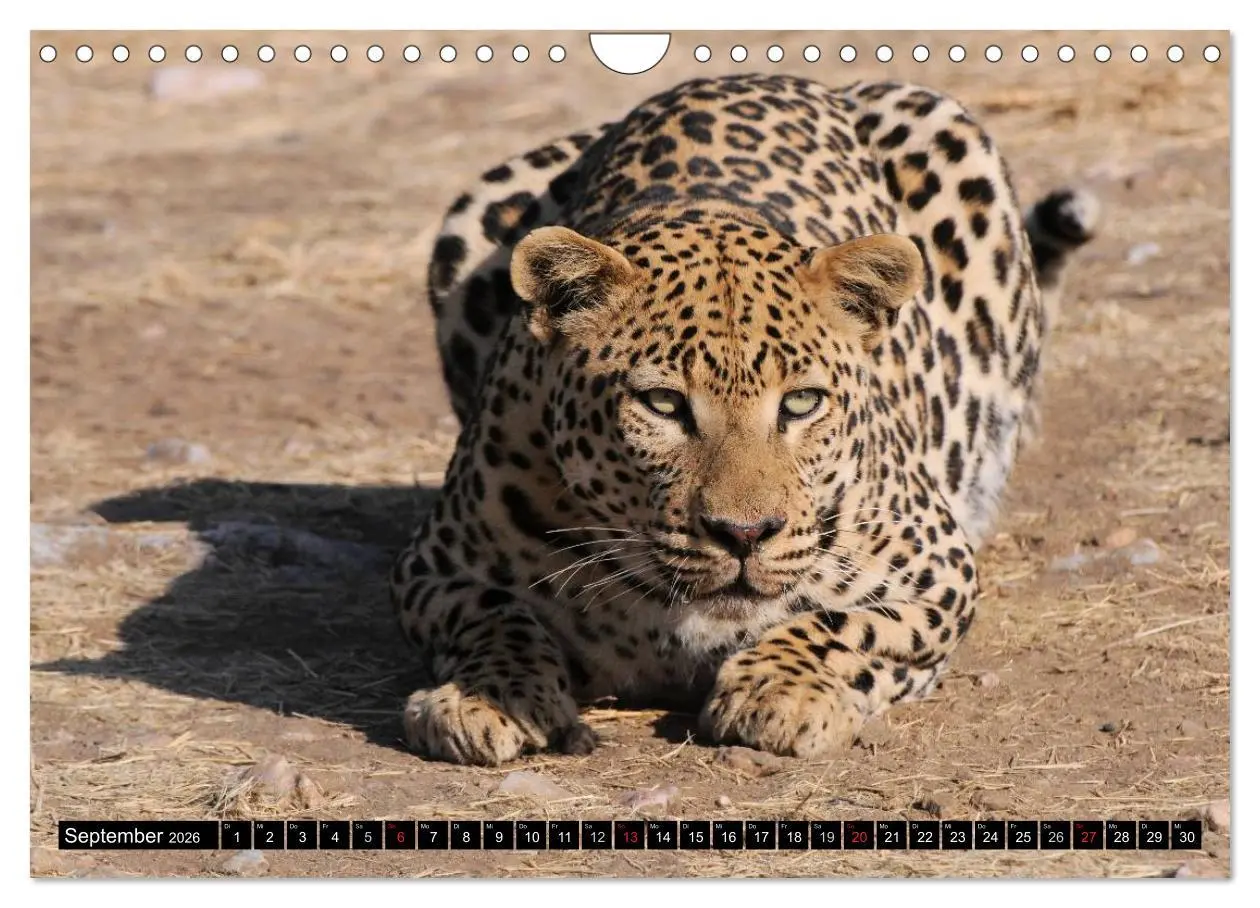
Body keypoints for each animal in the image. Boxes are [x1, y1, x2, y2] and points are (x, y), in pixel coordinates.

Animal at [390, 73, 1099, 765]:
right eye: (664, 404)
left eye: (802, 402)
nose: (744, 534)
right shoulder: (435, 567)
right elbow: (494, 614)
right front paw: (486, 696)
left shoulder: (940, 569)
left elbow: (848, 623)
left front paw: (780, 691)